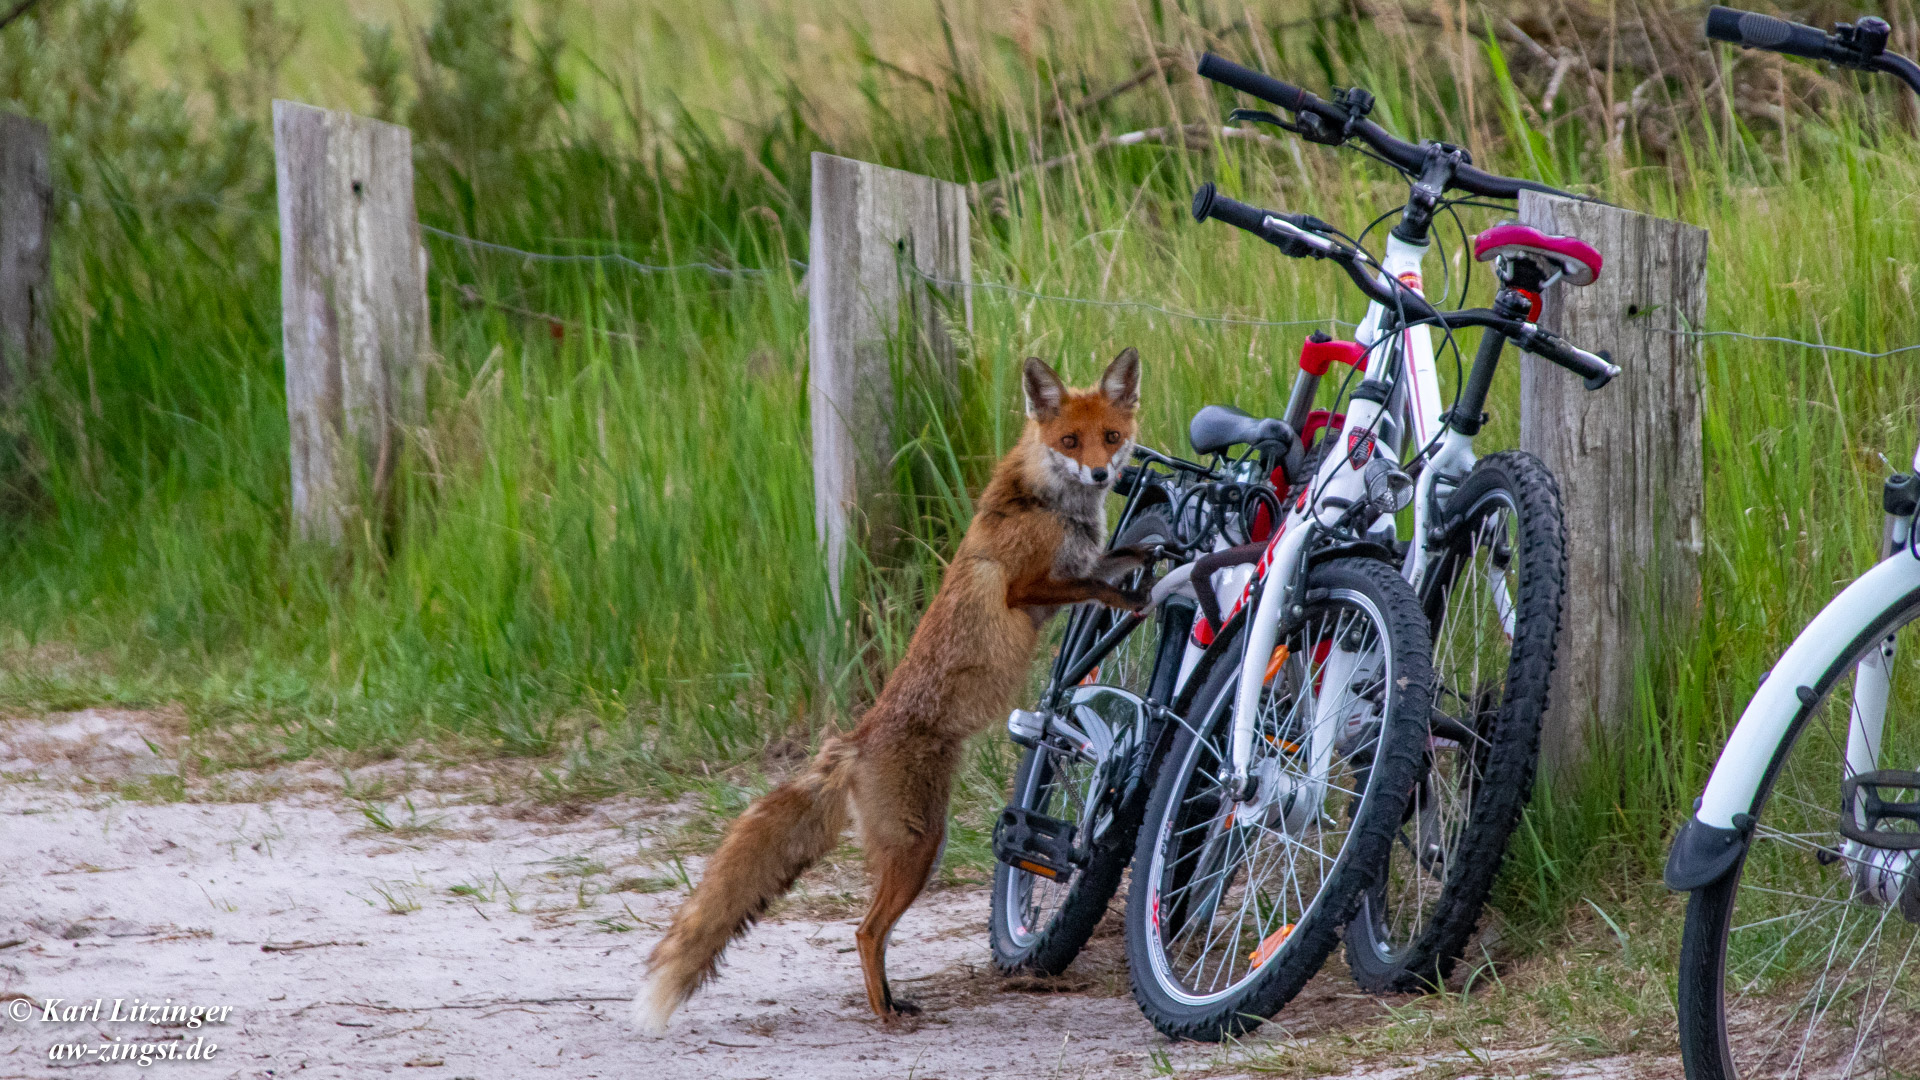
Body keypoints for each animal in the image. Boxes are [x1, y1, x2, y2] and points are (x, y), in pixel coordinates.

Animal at [637, 345, 1152, 1022]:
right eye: (1070, 440)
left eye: (1110, 438)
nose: (1097, 474)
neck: (1047, 501)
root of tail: (853, 742)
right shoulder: (1025, 589)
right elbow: (1095, 585)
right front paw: (1134, 597)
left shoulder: (1085, 561)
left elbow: (1121, 560)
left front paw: (1164, 559)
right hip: (920, 846)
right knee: (865, 930)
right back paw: (884, 1011)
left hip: (915, 845)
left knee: (868, 931)